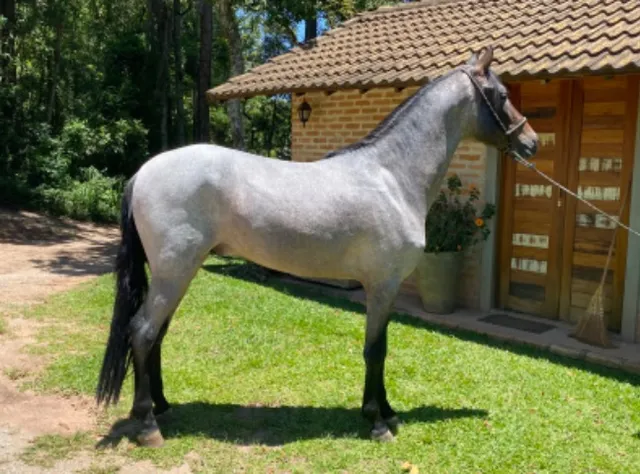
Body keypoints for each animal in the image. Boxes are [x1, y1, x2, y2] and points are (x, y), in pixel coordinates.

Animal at [97, 46, 536, 446]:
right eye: (501, 95)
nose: (531, 142)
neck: (391, 176)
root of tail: (144, 172)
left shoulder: (388, 288)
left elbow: (382, 348)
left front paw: (386, 411)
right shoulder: (382, 285)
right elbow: (375, 350)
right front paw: (377, 422)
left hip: (175, 274)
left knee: (155, 335)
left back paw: (162, 407)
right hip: (175, 272)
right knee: (142, 332)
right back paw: (149, 426)